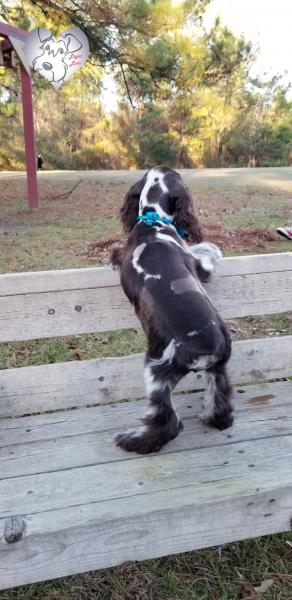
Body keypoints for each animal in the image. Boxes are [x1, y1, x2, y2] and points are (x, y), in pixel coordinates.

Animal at [112, 166, 233, 452]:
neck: (153, 221)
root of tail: (206, 347)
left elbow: (203, 251)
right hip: (219, 368)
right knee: (219, 397)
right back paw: (214, 418)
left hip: (156, 369)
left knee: (166, 421)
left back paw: (133, 440)